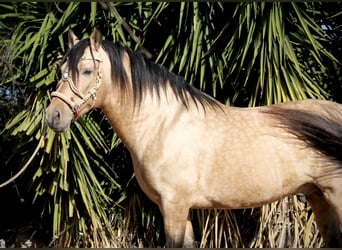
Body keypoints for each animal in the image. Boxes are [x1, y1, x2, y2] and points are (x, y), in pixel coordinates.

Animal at [45, 28, 342, 247]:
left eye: (86, 71)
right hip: (319, 198)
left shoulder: (174, 208)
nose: (53, 115)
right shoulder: (178, 210)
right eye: (61, 70)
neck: (162, 125)